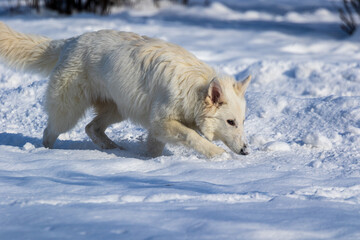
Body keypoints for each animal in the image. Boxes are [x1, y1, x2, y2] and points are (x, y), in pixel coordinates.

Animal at [0, 21, 250, 158]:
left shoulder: (156, 128)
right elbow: (191, 135)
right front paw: (217, 155)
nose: (246, 151)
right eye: (230, 122)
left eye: (242, 122)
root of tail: (70, 41)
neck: (192, 90)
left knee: (91, 128)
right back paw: (45, 153)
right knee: (50, 132)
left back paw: (114, 149)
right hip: (68, 112)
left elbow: (155, 149)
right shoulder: (161, 122)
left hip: (119, 109)